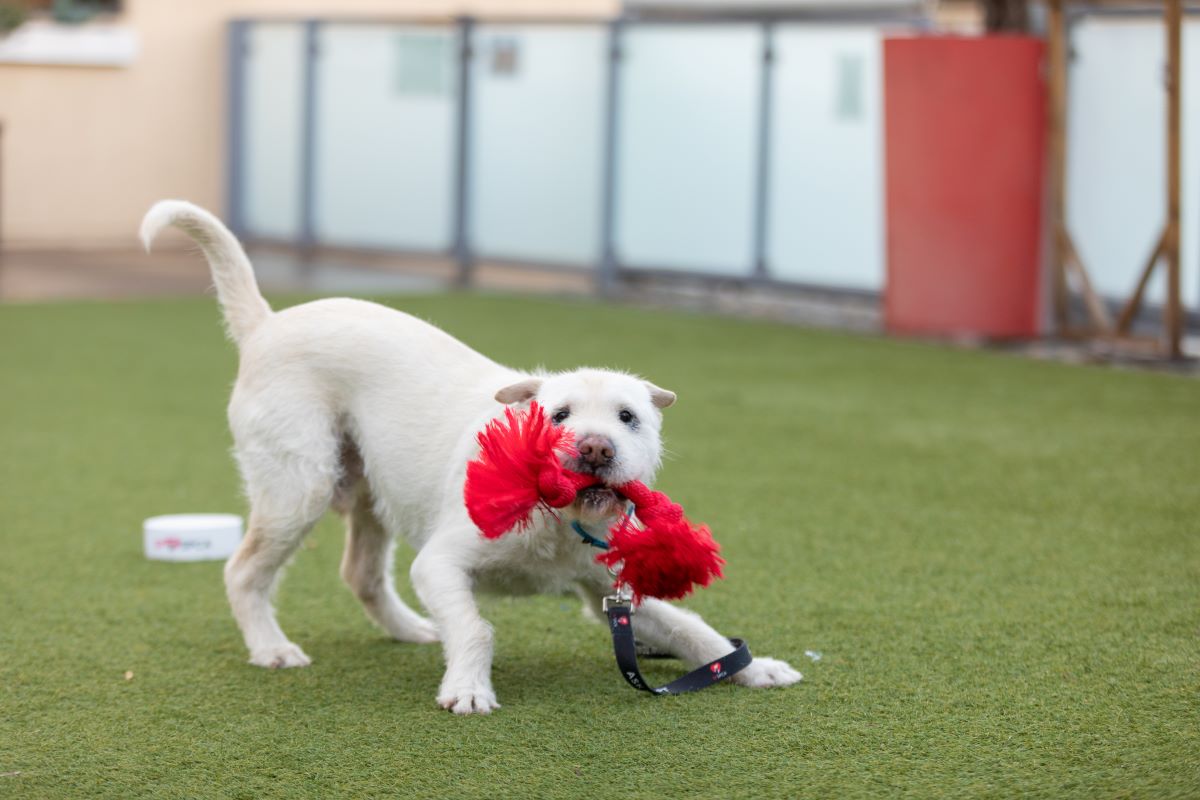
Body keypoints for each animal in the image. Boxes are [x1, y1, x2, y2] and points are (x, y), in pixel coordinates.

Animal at [141, 200, 802, 714]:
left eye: (628, 418)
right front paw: (468, 689)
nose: (594, 448)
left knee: (360, 574)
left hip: (371, 490)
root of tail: (266, 324)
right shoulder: (440, 564)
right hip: (297, 488)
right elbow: (477, 628)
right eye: (558, 416)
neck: (557, 522)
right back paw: (271, 648)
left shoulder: (609, 592)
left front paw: (755, 667)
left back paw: (413, 630)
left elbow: (696, 631)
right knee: (243, 571)